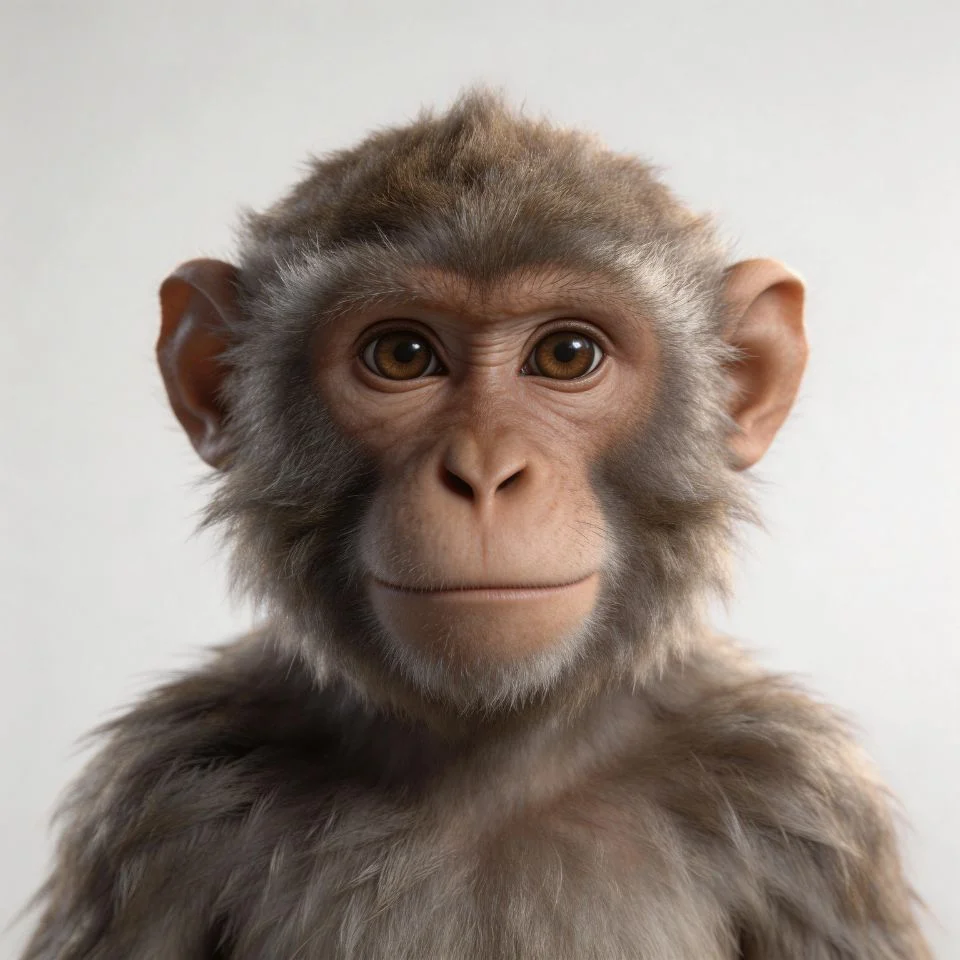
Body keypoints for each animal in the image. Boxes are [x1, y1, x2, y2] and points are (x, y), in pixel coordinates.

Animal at [20, 91, 931, 960]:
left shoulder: (805, 803)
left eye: (566, 354)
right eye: (401, 355)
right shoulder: (157, 797)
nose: (484, 473)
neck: (489, 768)